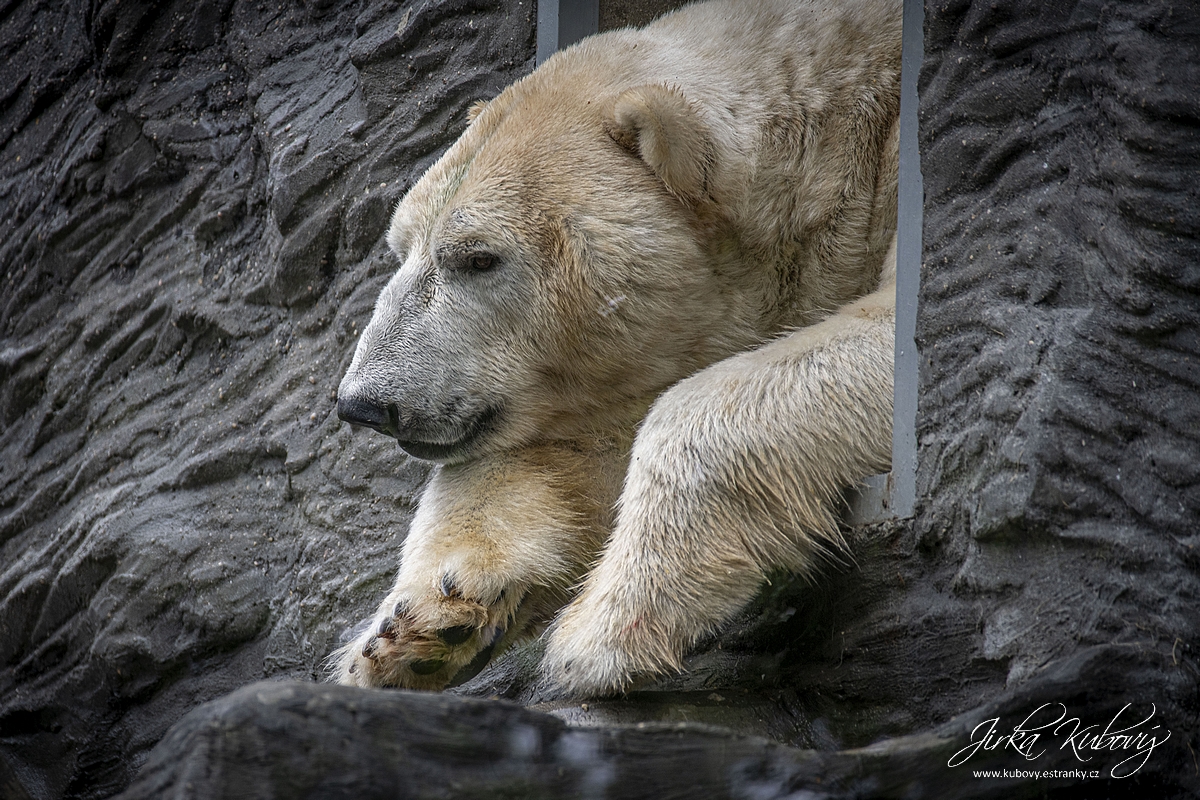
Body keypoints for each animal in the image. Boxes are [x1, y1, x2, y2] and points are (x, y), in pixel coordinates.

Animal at [333, 0, 897, 695]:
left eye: (478, 257)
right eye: (399, 247)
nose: (364, 403)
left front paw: (596, 634)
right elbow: (571, 449)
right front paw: (416, 625)